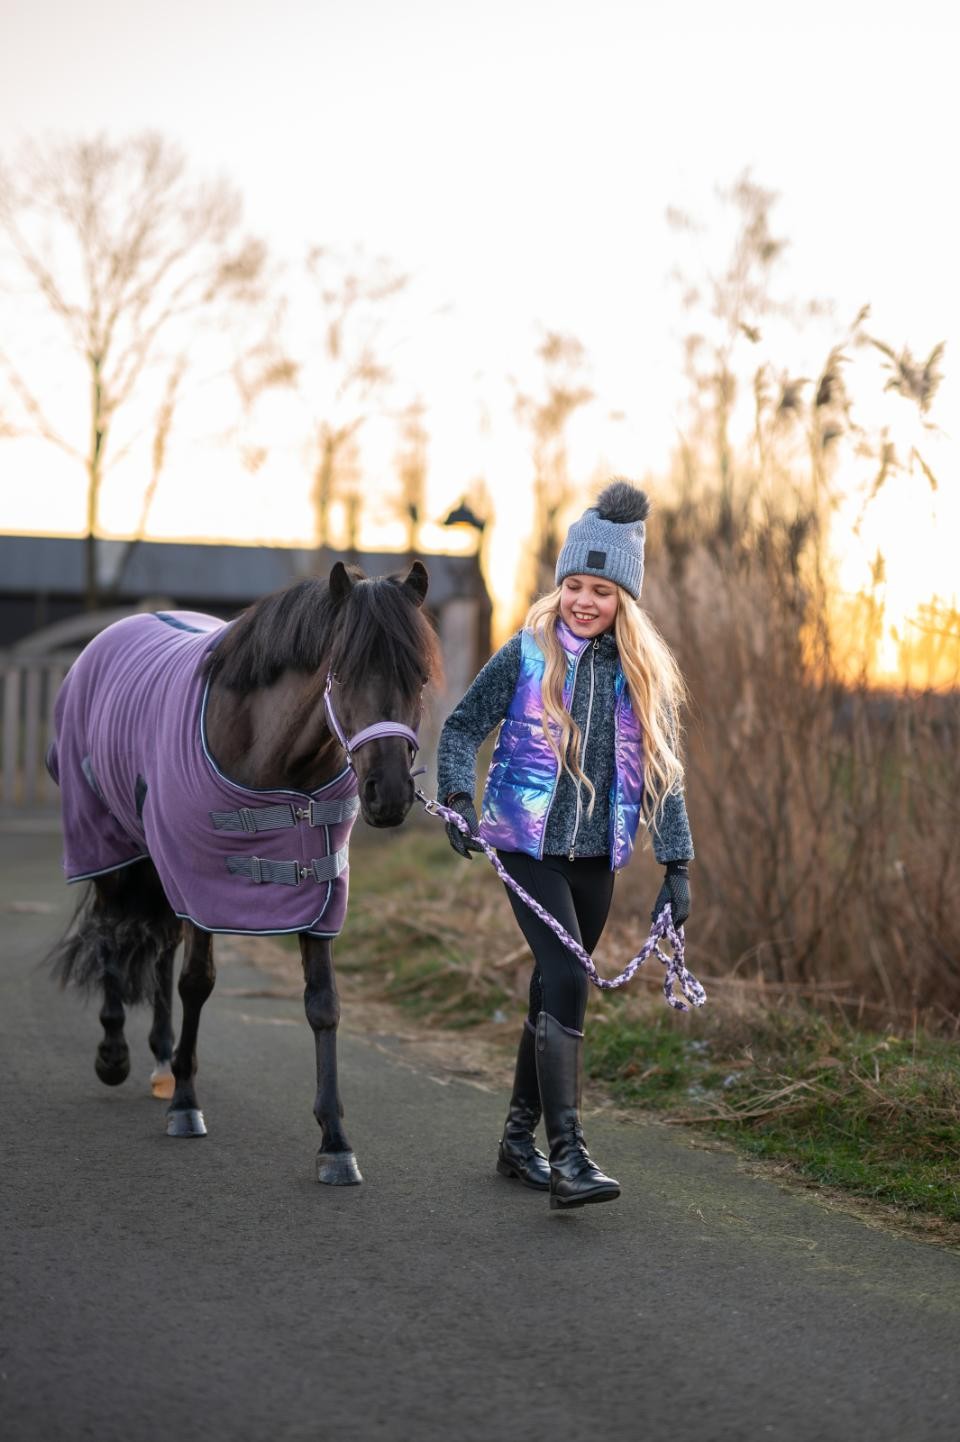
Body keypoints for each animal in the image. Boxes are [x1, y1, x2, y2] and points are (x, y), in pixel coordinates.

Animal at [46, 559, 440, 1185]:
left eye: (420, 679)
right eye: (341, 674)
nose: (391, 795)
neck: (272, 759)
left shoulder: (319, 888)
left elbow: (323, 1004)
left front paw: (335, 1141)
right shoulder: (201, 880)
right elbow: (197, 983)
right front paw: (187, 1105)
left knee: (157, 946)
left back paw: (162, 1060)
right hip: (107, 845)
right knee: (112, 935)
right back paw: (116, 1056)